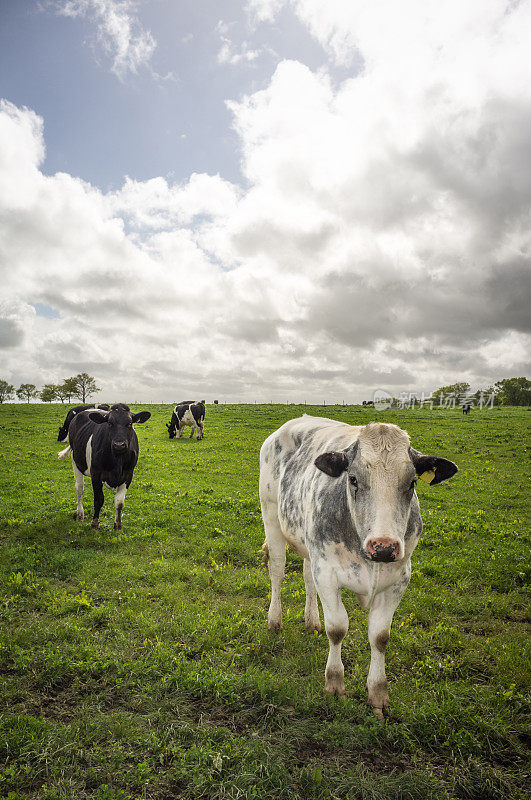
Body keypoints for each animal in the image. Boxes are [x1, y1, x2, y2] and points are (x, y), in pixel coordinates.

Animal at [260, 416, 460, 720]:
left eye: (412, 482)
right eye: (353, 479)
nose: (384, 546)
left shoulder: (399, 579)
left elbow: (380, 637)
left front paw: (378, 694)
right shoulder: (327, 572)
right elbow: (337, 628)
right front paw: (334, 684)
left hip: (308, 544)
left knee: (306, 575)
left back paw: (312, 621)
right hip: (271, 515)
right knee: (278, 570)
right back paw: (275, 620)